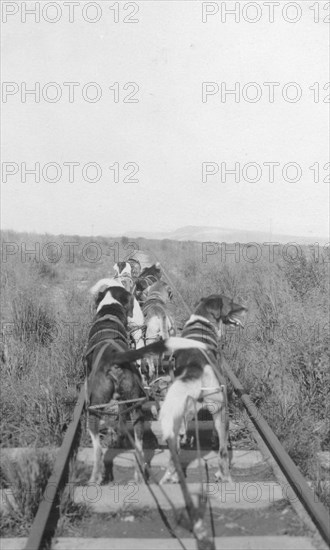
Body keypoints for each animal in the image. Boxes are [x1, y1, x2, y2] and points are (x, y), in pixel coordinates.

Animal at [159, 296, 248, 486]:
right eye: (230, 302)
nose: (245, 308)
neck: (202, 321)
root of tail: (197, 369)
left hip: (179, 419)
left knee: (176, 453)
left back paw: (171, 477)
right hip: (222, 413)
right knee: (222, 450)